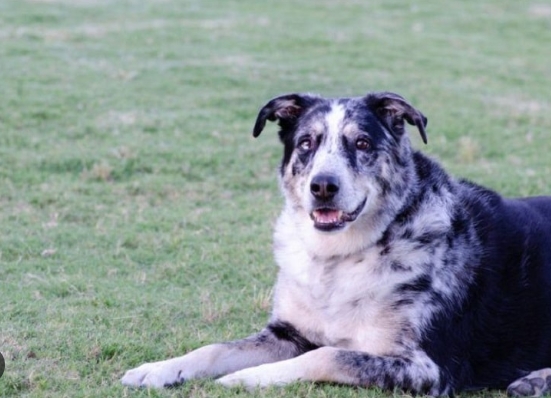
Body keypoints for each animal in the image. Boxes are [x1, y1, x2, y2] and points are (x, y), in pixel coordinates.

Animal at [119, 92, 551, 394]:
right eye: (307, 142)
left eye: (361, 143)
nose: (323, 186)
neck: (340, 259)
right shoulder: (287, 333)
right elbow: (215, 348)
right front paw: (156, 370)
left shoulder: (428, 368)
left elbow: (328, 355)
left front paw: (247, 378)